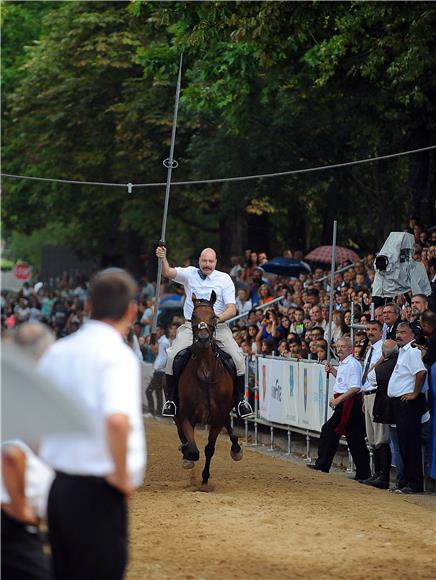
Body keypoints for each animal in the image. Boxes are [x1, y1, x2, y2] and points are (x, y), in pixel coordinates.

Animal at [175, 290, 244, 484]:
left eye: (213, 316)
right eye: (193, 316)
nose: (204, 339)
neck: (205, 370)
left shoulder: (218, 417)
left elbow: (209, 449)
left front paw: (205, 478)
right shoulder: (186, 415)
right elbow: (193, 450)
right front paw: (187, 455)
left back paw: (236, 449)